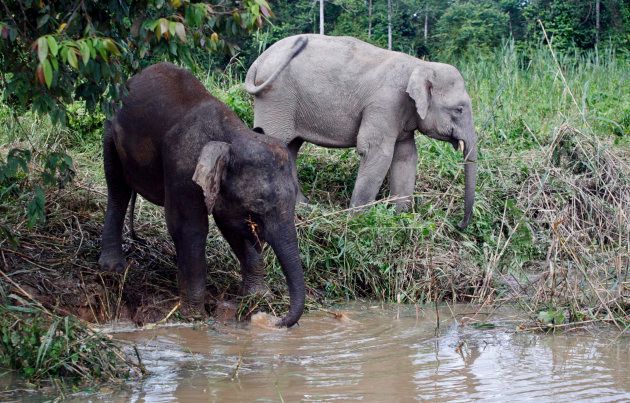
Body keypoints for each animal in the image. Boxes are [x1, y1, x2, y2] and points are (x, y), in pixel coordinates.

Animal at [247, 34, 478, 230]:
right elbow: (376, 152)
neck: (420, 65)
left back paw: (304, 205)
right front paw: (358, 220)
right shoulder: (385, 104)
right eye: (459, 109)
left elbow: (406, 156)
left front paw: (401, 218)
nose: (459, 225)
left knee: (291, 147)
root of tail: (258, 60)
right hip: (277, 98)